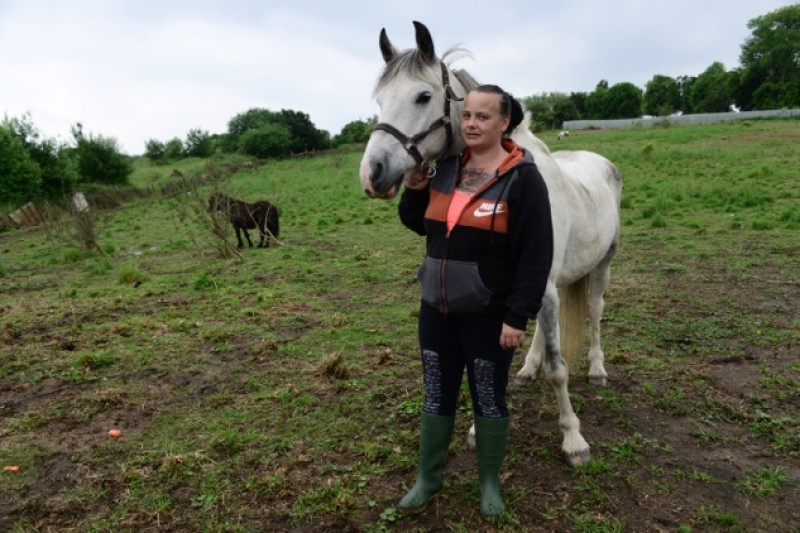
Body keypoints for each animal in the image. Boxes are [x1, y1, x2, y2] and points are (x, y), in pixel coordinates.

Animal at [358, 21, 622, 466]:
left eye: (423, 96)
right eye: (379, 100)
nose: (372, 174)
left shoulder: (545, 287)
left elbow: (559, 369)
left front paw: (573, 439)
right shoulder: (527, 289)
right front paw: (476, 428)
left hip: (601, 265)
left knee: (594, 312)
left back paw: (599, 370)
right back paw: (528, 369)